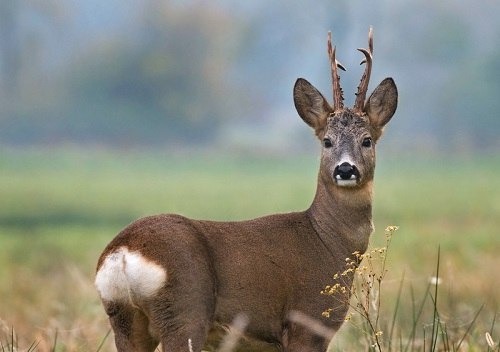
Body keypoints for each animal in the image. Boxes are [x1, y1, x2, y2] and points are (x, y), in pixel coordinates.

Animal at [94, 28, 398, 352]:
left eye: (367, 140)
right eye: (327, 141)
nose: (345, 169)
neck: (328, 241)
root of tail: (123, 253)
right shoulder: (307, 322)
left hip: (125, 320)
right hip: (184, 311)